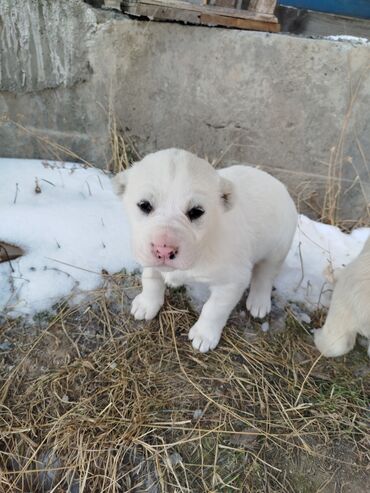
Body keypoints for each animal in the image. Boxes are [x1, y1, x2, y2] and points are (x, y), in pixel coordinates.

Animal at [115, 148, 298, 352]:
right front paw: (147, 304)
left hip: (277, 248)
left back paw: (259, 301)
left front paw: (204, 335)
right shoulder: (147, 255)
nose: (164, 250)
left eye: (196, 212)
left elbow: (214, 309)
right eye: (144, 205)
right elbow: (151, 279)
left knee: (265, 275)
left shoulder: (232, 282)